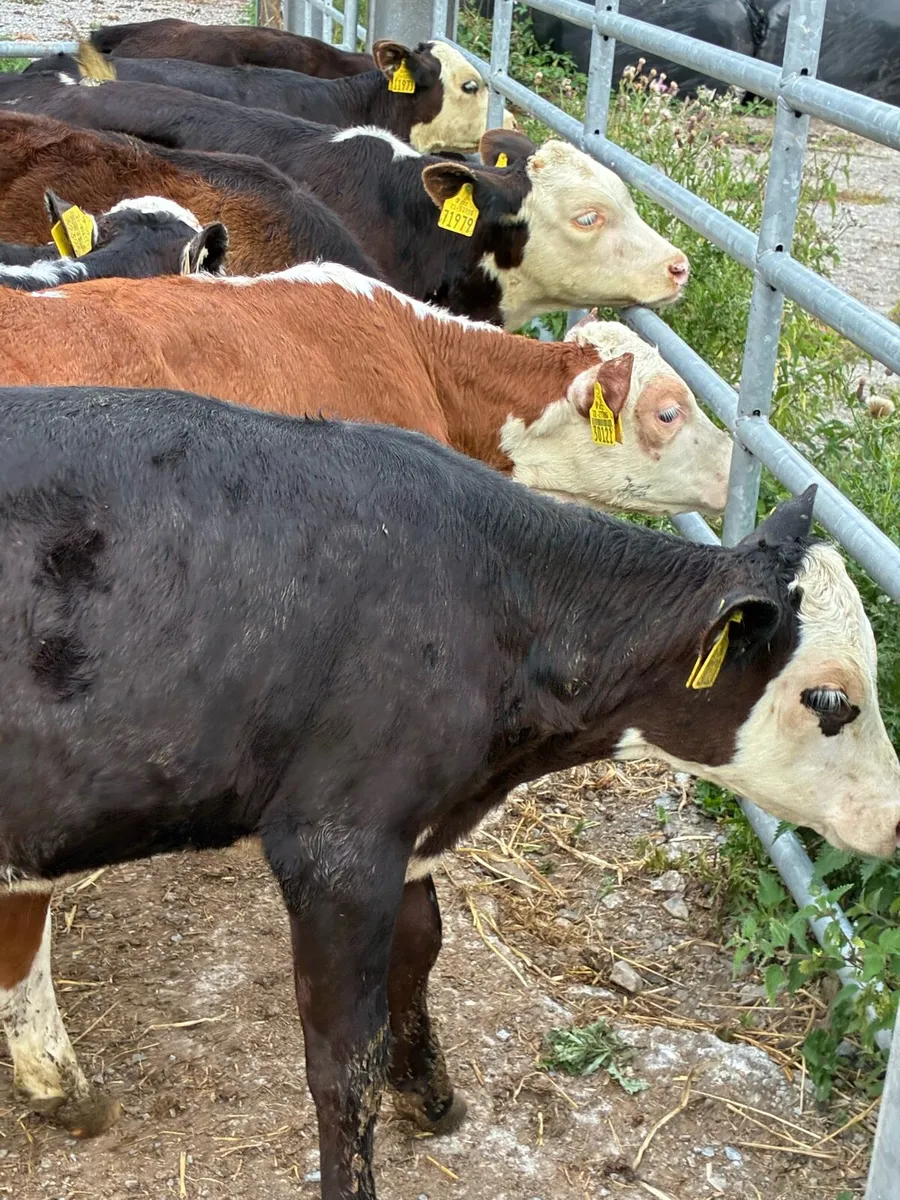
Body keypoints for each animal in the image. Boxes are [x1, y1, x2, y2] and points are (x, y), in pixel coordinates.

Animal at [0, 385, 896, 1198]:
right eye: (830, 699)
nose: (895, 820)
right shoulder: (335, 846)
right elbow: (342, 1060)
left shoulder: (411, 828)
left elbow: (420, 953)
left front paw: (431, 1095)